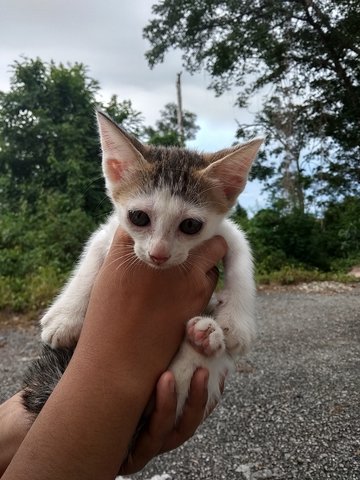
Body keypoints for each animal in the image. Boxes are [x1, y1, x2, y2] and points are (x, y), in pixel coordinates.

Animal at [24, 110, 262, 418]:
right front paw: (65, 316)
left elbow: (242, 254)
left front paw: (237, 323)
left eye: (190, 225)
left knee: (179, 384)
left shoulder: (224, 231)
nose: (158, 254)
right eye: (139, 217)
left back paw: (203, 341)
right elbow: (91, 255)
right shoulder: (111, 231)